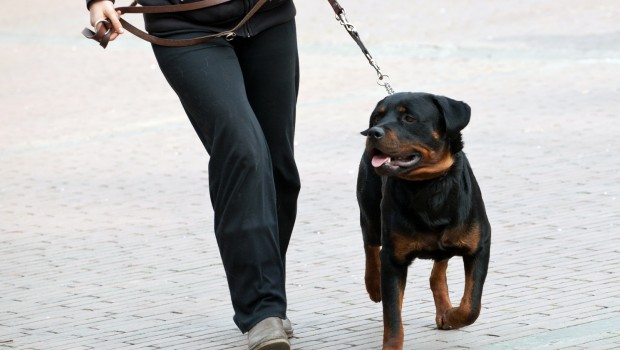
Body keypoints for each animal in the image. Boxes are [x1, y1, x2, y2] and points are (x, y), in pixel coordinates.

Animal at [356, 91, 492, 348]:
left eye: (409, 118)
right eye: (376, 118)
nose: (373, 132)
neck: (427, 186)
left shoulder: (479, 246)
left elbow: (471, 306)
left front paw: (453, 315)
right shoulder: (393, 259)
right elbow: (392, 317)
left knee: (438, 271)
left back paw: (444, 309)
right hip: (369, 207)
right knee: (370, 244)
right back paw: (374, 285)